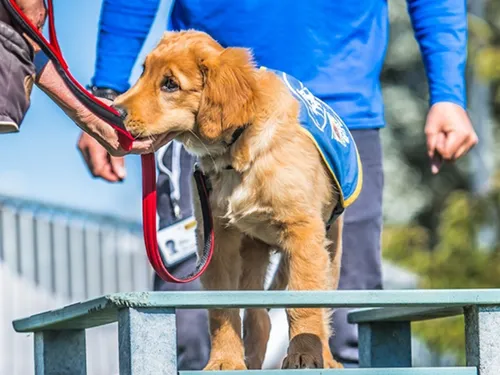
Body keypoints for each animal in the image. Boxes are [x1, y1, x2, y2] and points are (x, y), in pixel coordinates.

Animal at [114, 30, 362, 372]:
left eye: (170, 84)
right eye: (143, 72)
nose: (114, 111)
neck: (235, 152)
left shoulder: (304, 232)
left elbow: (305, 303)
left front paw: (306, 356)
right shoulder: (217, 238)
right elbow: (222, 308)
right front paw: (224, 360)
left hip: (330, 250)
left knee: (319, 303)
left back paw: (325, 357)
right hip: (253, 253)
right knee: (258, 316)